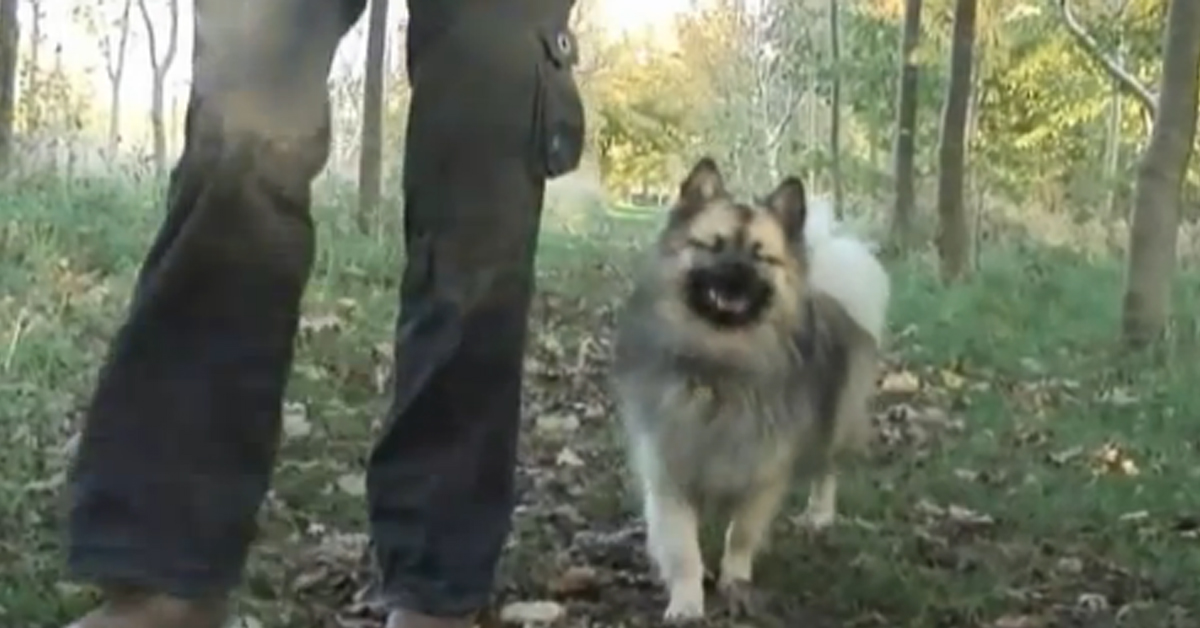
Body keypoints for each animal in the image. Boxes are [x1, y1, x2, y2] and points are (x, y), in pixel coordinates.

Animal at [614, 159, 888, 619]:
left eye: (760, 256)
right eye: (714, 246)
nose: (738, 273)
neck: (721, 364)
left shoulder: (765, 470)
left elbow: (740, 533)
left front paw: (734, 581)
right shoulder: (669, 470)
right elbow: (682, 547)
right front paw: (687, 601)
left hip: (831, 421)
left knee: (826, 468)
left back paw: (819, 514)